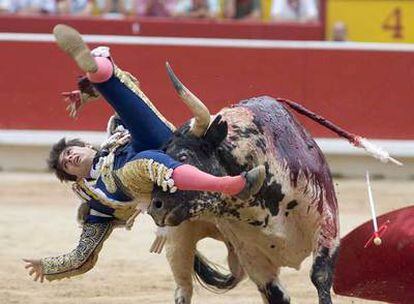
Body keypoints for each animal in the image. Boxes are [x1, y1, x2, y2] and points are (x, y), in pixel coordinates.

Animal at [148, 63, 366, 302]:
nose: (155, 206)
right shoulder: (254, 258)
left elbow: (320, 275)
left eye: (184, 156)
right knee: (183, 288)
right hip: (178, 241)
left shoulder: (327, 224)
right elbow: (277, 295)